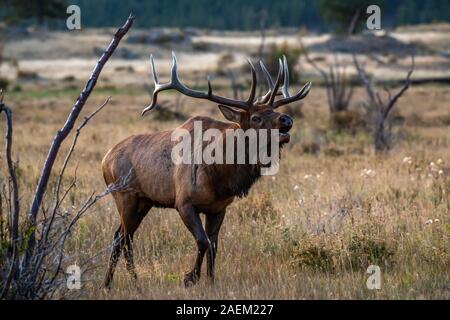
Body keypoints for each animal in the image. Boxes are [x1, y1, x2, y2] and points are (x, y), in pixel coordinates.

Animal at [101, 52, 310, 288]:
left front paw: (210, 280)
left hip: (144, 201)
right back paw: (127, 282)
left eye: (275, 110)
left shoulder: (218, 208)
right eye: (255, 118)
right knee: (124, 238)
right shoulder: (184, 203)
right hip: (125, 197)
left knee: (120, 236)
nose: (287, 120)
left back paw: (114, 283)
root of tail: (104, 159)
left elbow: (214, 245)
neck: (220, 176)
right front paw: (190, 277)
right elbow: (203, 242)